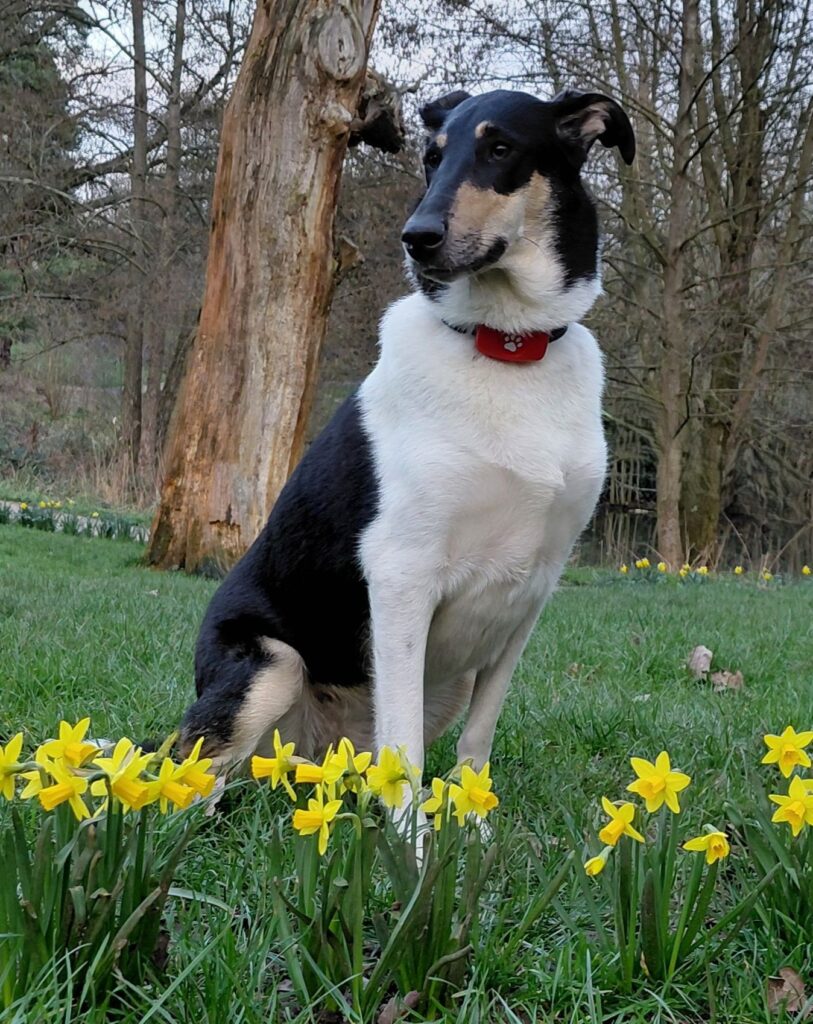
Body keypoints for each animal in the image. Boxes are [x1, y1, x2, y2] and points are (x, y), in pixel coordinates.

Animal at [180, 87, 635, 783]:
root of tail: (312, 756)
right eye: (431, 157)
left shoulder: (530, 594)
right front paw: (410, 821)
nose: (417, 237)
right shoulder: (401, 575)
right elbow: (407, 755)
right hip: (271, 668)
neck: (506, 348)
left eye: (501, 148)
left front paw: (471, 812)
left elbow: (478, 739)